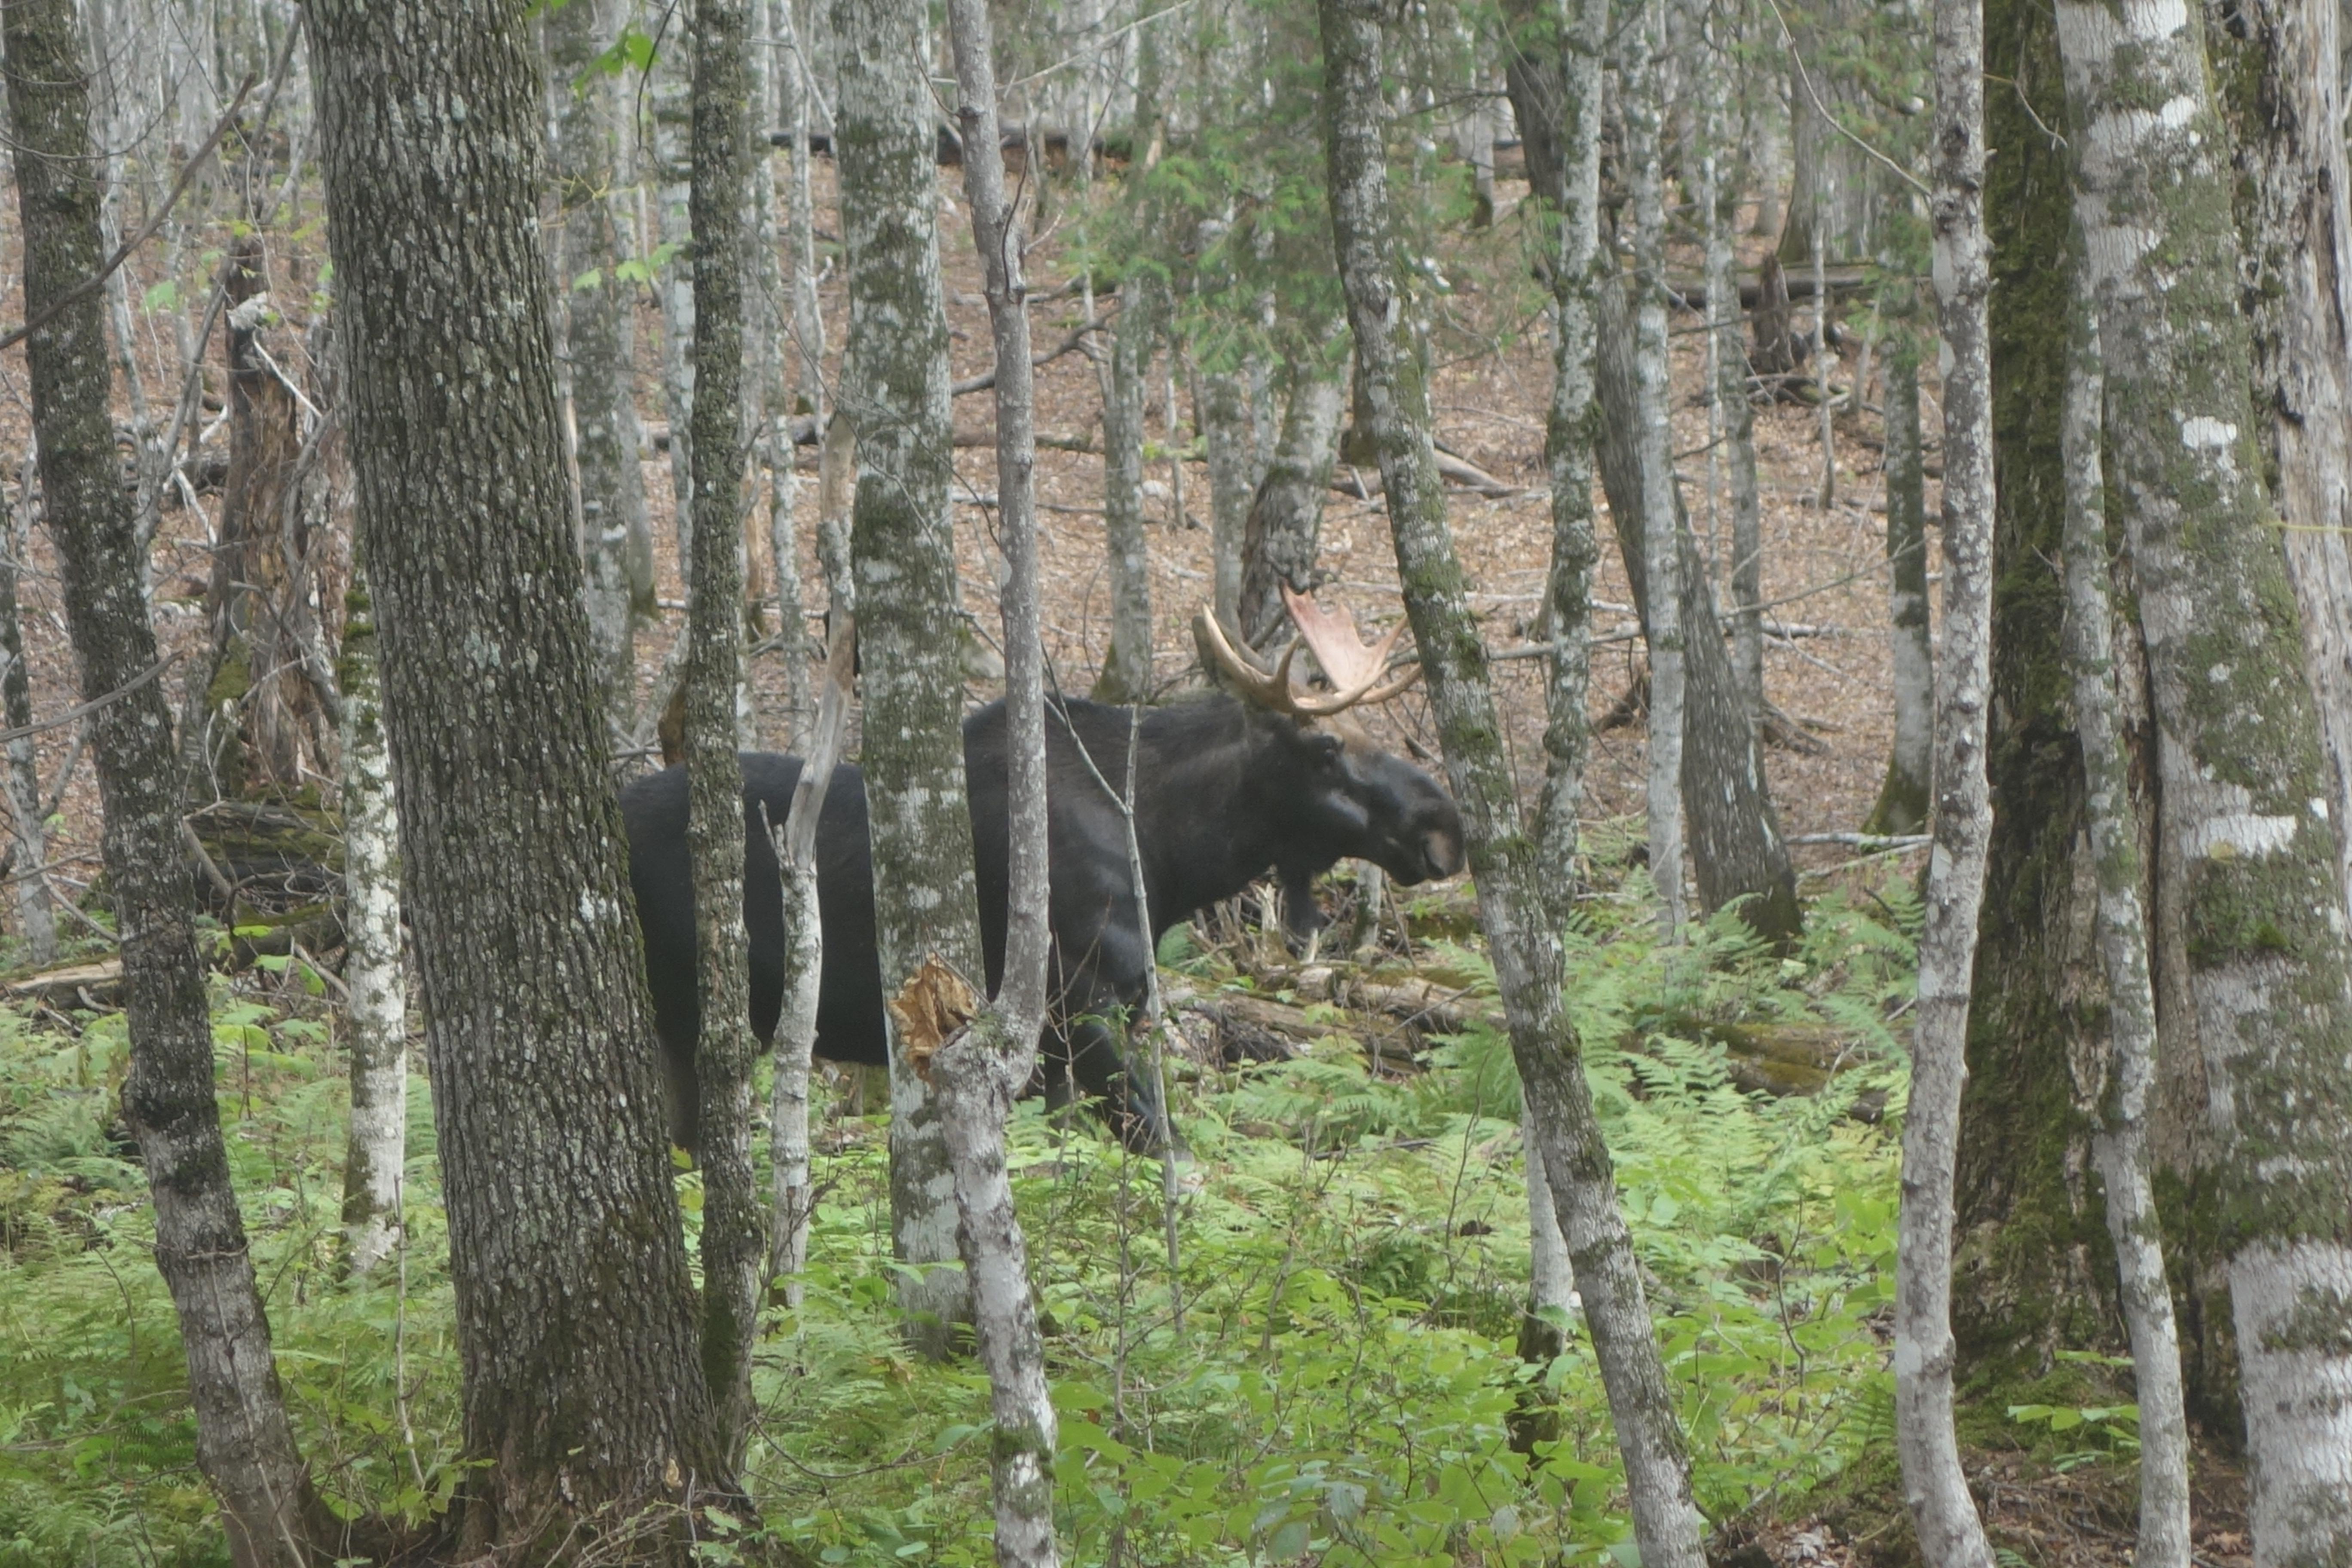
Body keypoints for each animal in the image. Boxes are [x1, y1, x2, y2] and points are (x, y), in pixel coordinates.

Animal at [616, 594, 1458, 1147]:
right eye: (1326, 747)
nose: (1443, 826)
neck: (1170, 854)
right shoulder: (1081, 1001)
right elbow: (1163, 1144)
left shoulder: (1063, 1034)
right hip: (683, 1010)